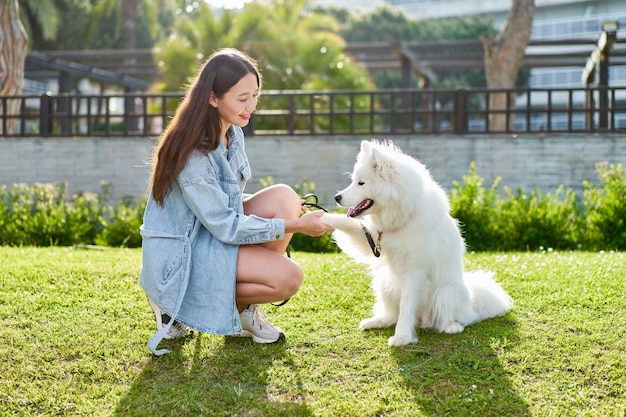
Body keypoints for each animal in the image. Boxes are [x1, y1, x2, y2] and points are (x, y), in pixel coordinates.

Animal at [322, 138, 512, 346]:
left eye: (361, 183)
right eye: (353, 181)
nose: (336, 197)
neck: (404, 216)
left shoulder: (414, 271)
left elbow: (406, 308)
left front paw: (402, 337)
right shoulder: (373, 238)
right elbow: (348, 223)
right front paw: (321, 217)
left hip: (446, 292)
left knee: (459, 318)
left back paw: (451, 326)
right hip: (384, 283)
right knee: (391, 314)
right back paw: (377, 321)